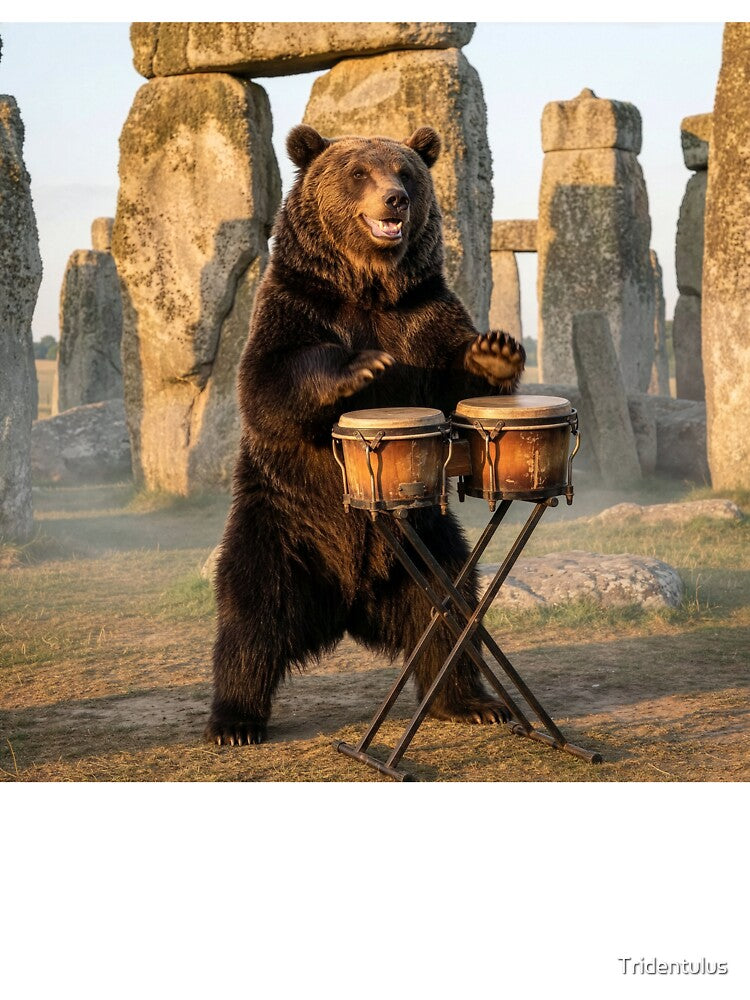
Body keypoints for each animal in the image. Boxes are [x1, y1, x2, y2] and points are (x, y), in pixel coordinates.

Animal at [205, 124, 526, 746]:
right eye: (358, 172)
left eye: (404, 172)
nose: (394, 199)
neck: (367, 285)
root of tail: (350, 602)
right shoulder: (295, 304)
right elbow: (269, 383)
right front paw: (360, 367)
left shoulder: (424, 315)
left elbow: (455, 382)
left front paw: (496, 351)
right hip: (279, 525)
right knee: (250, 616)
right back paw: (235, 719)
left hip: (426, 545)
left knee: (450, 613)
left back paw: (469, 701)